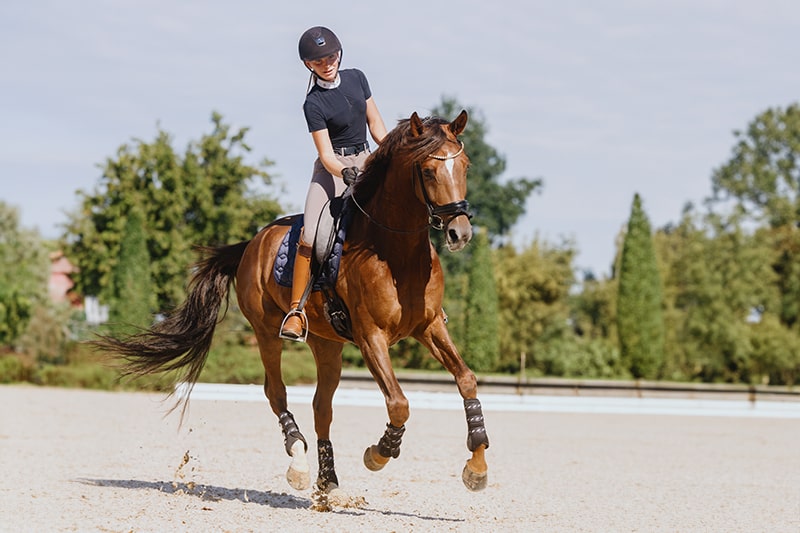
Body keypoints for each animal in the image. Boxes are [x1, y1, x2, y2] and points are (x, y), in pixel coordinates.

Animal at [97, 110, 490, 496]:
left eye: (466, 166)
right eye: (428, 171)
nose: (460, 233)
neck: (396, 253)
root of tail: (252, 243)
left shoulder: (429, 326)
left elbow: (466, 379)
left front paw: (477, 466)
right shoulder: (371, 336)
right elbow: (399, 403)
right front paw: (378, 453)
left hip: (327, 343)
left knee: (321, 406)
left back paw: (328, 482)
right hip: (266, 331)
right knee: (277, 392)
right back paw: (299, 464)